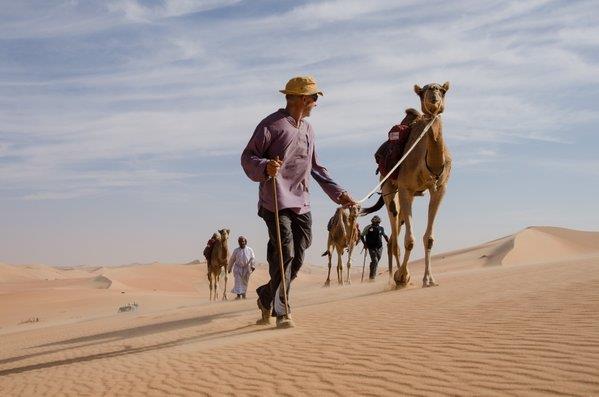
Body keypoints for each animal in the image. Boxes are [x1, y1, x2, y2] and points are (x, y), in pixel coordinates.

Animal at [364, 82, 452, 288]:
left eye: (442, 90)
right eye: (422, 92)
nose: (433, 96)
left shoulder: (440, 189)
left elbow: (429, 238)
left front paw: (429, 279)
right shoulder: (405, 188)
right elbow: (408, 241)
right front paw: (403, 277)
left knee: (395, 233)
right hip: (388, 187)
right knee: (394, 236)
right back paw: (395, 278)